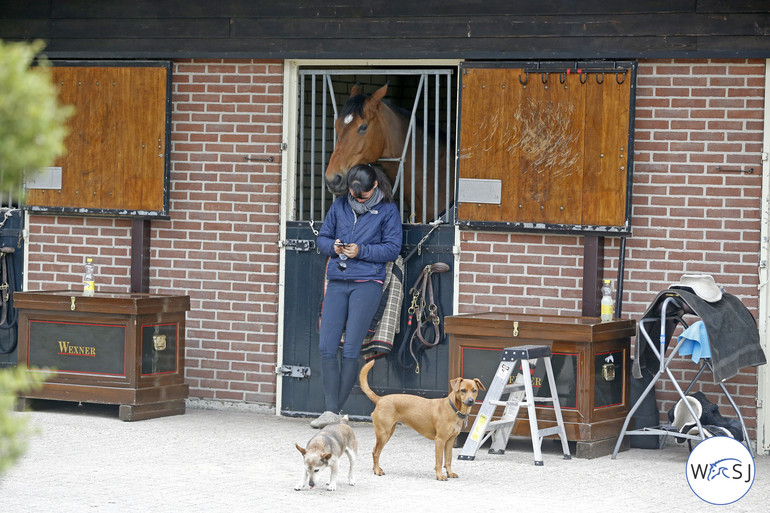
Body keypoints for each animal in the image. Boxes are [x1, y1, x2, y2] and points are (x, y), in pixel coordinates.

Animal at [356, 358, 484, 478]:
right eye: (463, 390)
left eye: (474, 390)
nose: (471, 401)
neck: (453, 409)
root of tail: (380, 399)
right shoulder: (440, 440)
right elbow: (439, 461)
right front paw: (439, 475)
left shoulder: (450, 441)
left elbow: (448, 460)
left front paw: (450, 473)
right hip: (383, 434)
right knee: (375, 452)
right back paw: (377, 470)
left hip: (388, 432)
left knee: (376, 451)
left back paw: (377, 468)